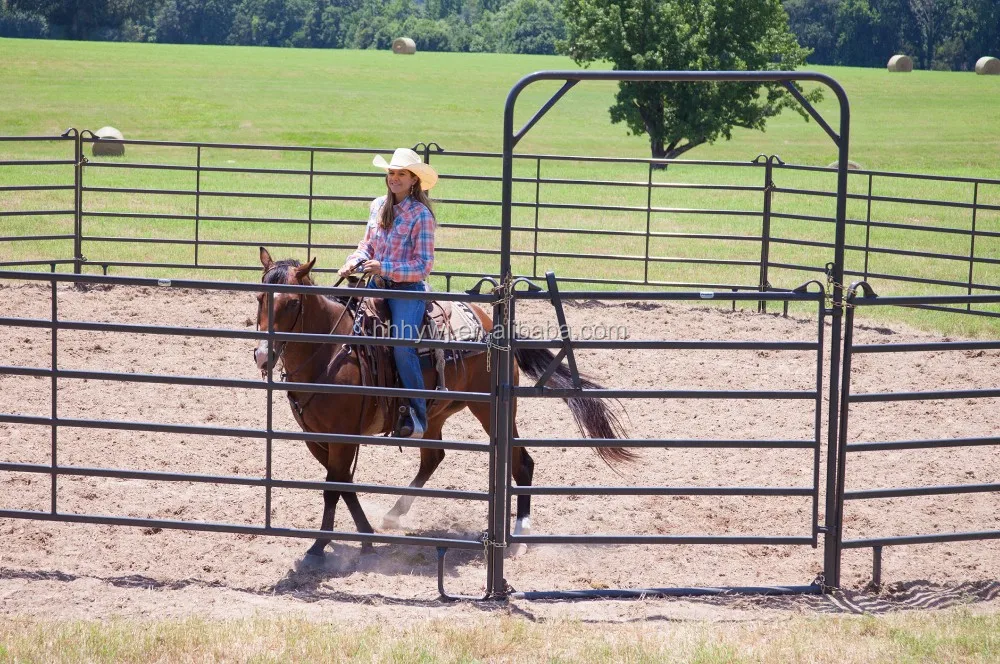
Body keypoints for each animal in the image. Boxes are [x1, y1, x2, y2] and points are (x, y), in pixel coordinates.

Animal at [252, 247, 634, 559]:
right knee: (433, 457)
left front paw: (319, 546)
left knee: (521, 462)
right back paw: (394, 514)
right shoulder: (315, 437)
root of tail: (491, 323)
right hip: (435, 411)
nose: (262, 355)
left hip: (491, 410)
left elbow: (334, 488)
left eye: (293, 302)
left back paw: (520, 534)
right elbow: (343, 483)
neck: (330, 350)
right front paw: (365, 537)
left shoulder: (342, 437)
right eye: (259, 297)